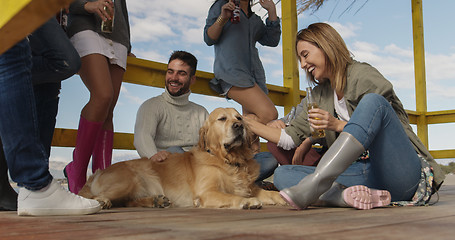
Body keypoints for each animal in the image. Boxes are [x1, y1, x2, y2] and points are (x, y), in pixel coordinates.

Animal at [78, 108, 284, 209]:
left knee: (127, 201)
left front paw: (282, 196)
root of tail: (97, 173)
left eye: (239, 118)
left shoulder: (250, 187)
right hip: (129, 179)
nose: (239, 126)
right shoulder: (206, 192)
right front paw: (247, 202)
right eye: (222, 119)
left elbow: (271, 194)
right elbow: (232, 195)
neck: (230, 161)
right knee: (97, 197)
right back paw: (103, 202)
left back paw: (156, 201)